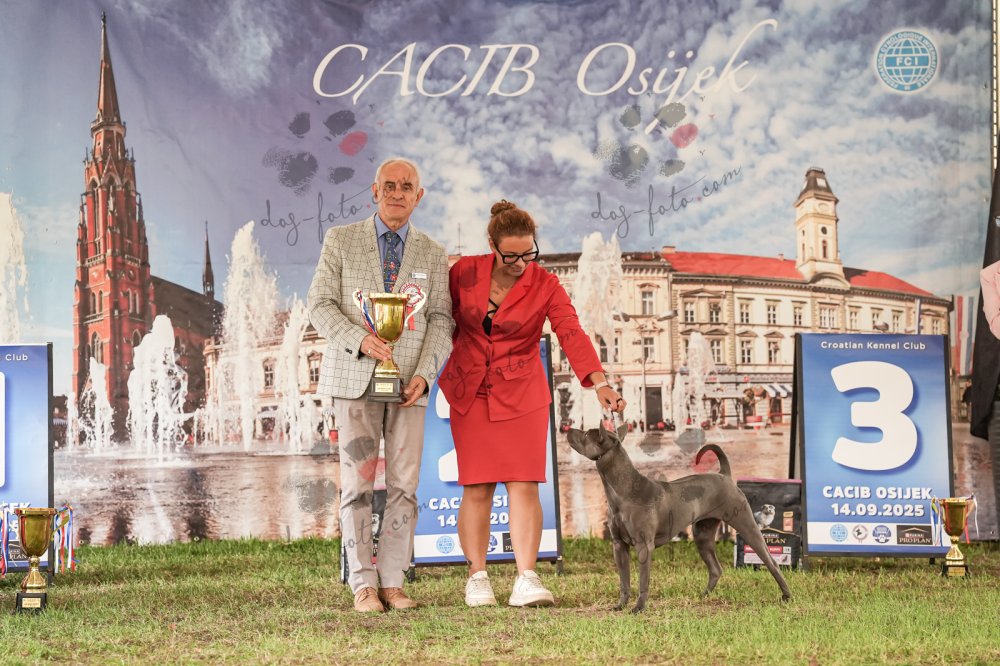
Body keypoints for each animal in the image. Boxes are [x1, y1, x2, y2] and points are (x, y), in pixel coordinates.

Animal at [567, 423, 791, 612]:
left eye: (585, 434)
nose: (568, 428)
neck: (625, 490)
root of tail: (725, 475)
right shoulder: (618, 546)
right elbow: (624, 581)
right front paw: (621, 605)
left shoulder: (643, 547)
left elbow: (643, 581)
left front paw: (639, 608)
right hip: (702, 535)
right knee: (716, 569)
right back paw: (704, 596)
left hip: (746, 525)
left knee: (771, 561)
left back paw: (786, 595)